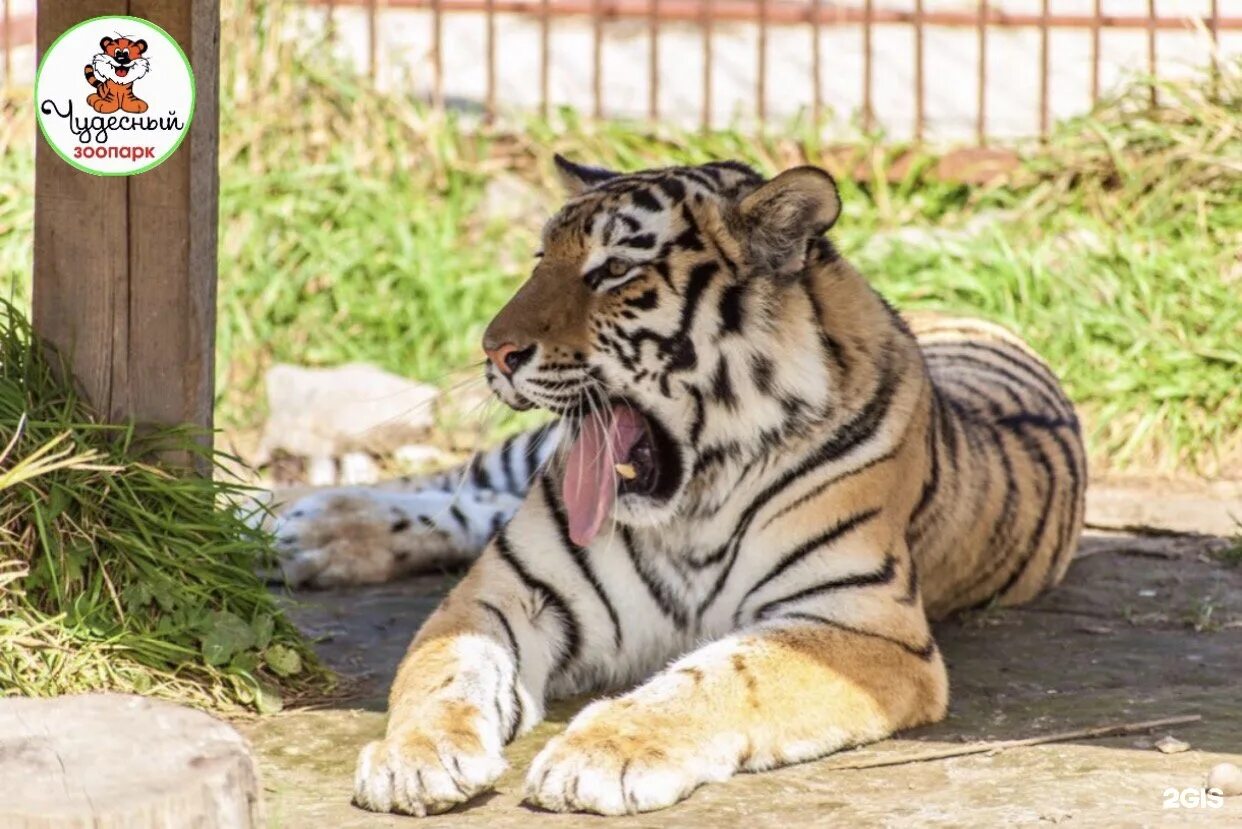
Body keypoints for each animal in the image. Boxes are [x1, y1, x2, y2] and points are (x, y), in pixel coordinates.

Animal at [274, 157, 1087, 815]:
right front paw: (413, 757)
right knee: (461, 487)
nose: (494, 350)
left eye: (613, 271)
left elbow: (726, 675)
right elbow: (444, 670)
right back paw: (305, 528)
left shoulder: (858, 625)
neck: (692, 499)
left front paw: (602, 754)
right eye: (541, 257)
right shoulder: (505, 594)